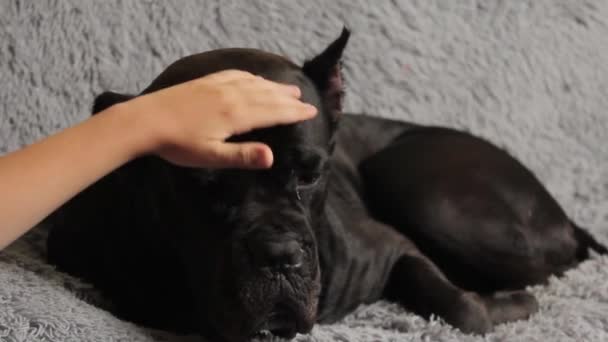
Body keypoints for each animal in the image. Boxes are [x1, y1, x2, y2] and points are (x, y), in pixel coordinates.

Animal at [46, 30, 604, 342]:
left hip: (424, 193)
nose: (280, 256)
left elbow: (459, 306)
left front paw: (511, 307)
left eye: (311, 174)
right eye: (203, 184)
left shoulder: (392, 247)